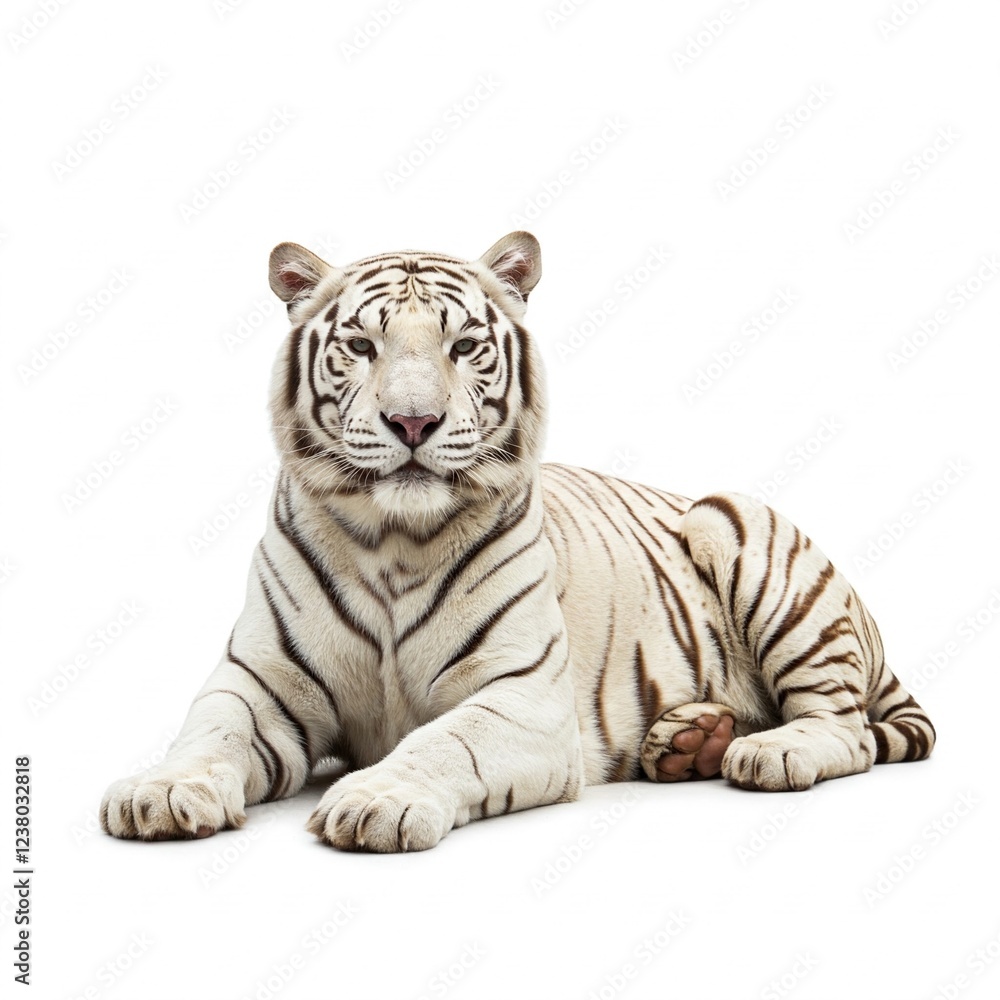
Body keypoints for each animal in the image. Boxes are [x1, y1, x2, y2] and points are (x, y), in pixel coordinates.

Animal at [99, 231, 936, 852]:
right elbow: (209, 734)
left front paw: (376, 798)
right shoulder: (258, 682)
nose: (413, 423)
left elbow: (444, 741)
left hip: (732, 524)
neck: (392, 541)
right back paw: (689, 739)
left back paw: (767, 751)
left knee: (847, 729)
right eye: (363, 348)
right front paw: (160, 790)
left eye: (464, 346)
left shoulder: (522, 696)